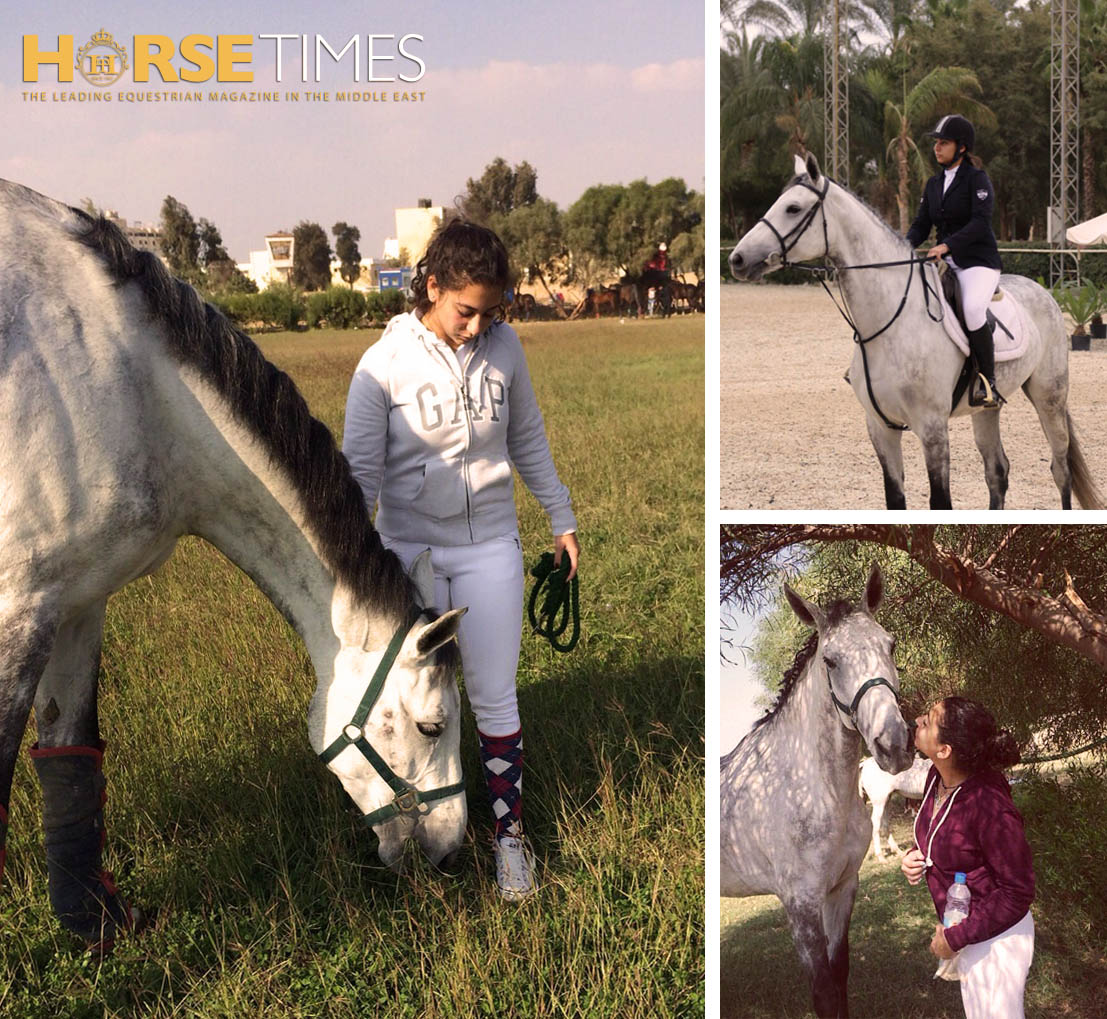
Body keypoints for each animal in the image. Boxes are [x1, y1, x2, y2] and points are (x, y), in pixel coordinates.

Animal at [0, 179, 468, 948]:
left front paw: (95, 925)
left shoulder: (78, 600)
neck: (133, 386)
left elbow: (69, 751)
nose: (451, 846)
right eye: (431, 724)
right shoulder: (21, 606)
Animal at [720, 564, 915, 1018]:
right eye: (830, 660)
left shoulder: (841, 890)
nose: (894, 745)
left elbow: (839, 975)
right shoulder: (800, 904)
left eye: (891, 645)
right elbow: (823, 990)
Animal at [729, 152, 1104, 511]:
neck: (888, 327)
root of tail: (1044, 291)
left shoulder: (932, 428)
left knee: (1060, 468)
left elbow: (940, 502)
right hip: (988, 408)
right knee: (997, 472)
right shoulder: (880, 428)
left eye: (793, 208)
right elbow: (895, 500)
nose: (737, 259)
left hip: (1049, 396)